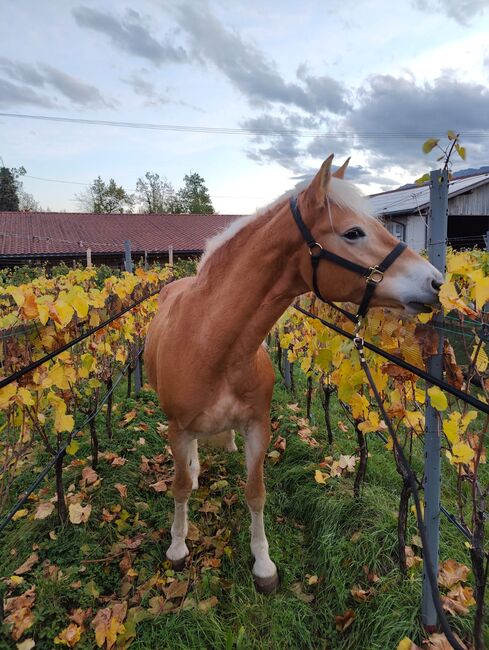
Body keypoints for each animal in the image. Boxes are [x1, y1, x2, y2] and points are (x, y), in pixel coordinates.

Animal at [144, 153, 442, 592]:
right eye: (353, 232)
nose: (436, 282)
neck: (212, 344)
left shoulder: (257, 427)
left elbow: (255, 493)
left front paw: (263, 564)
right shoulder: (178, 429)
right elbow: (180, 488)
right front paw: (178, 547)